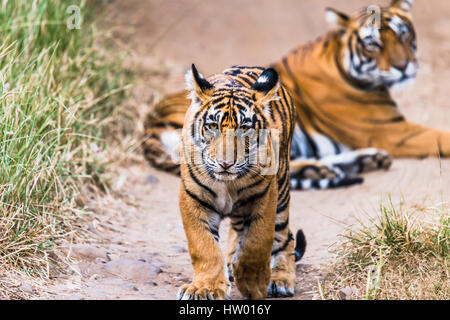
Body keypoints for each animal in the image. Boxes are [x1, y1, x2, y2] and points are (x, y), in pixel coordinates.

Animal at [143, 0, 450, 189]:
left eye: (403, 35)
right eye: (373, 44)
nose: (404, 66)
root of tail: (148, 126)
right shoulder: (392, 130)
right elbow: (441, 136)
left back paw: (362, 161)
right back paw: (325, 169)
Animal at [178, 63, 300, 298]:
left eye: (244, 128)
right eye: (212, 126)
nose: (226, 164)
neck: (228, 184)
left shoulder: (265, 196)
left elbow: (257, 242)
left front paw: (254, 284)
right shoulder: (193, 198)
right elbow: (203, 246)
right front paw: (205, 288)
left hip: (282, 190)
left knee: (285, 235)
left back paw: (280, 279)